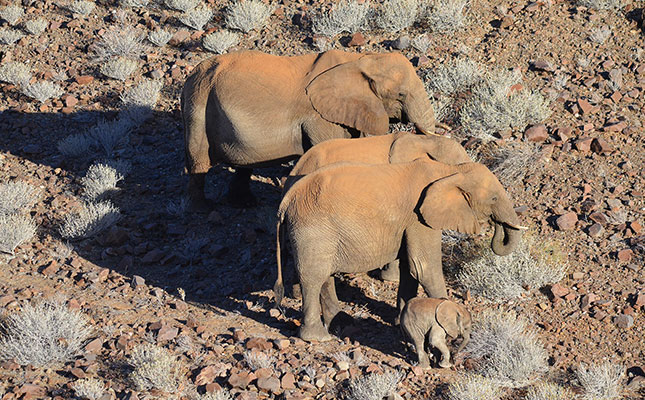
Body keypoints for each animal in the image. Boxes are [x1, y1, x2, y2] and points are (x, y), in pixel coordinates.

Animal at [184, 49, 440, 209]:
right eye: (401, 95)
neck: (360, 59)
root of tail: (193, 73)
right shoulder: (318, 116)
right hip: (198, 103)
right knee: (198, 162)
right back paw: (204, 209)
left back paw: (244, 204)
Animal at [274, 158, 524, 342]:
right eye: (493, 198)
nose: (496, 228)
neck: (450, 170)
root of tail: (285, 201)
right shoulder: (419, 217)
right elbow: (423, 267)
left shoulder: (411, 221)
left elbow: (409, 267)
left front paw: (400, 322)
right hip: (313, 229)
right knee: (313, 277)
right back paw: (318, 338)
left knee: (324, 275)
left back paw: (341, 323)